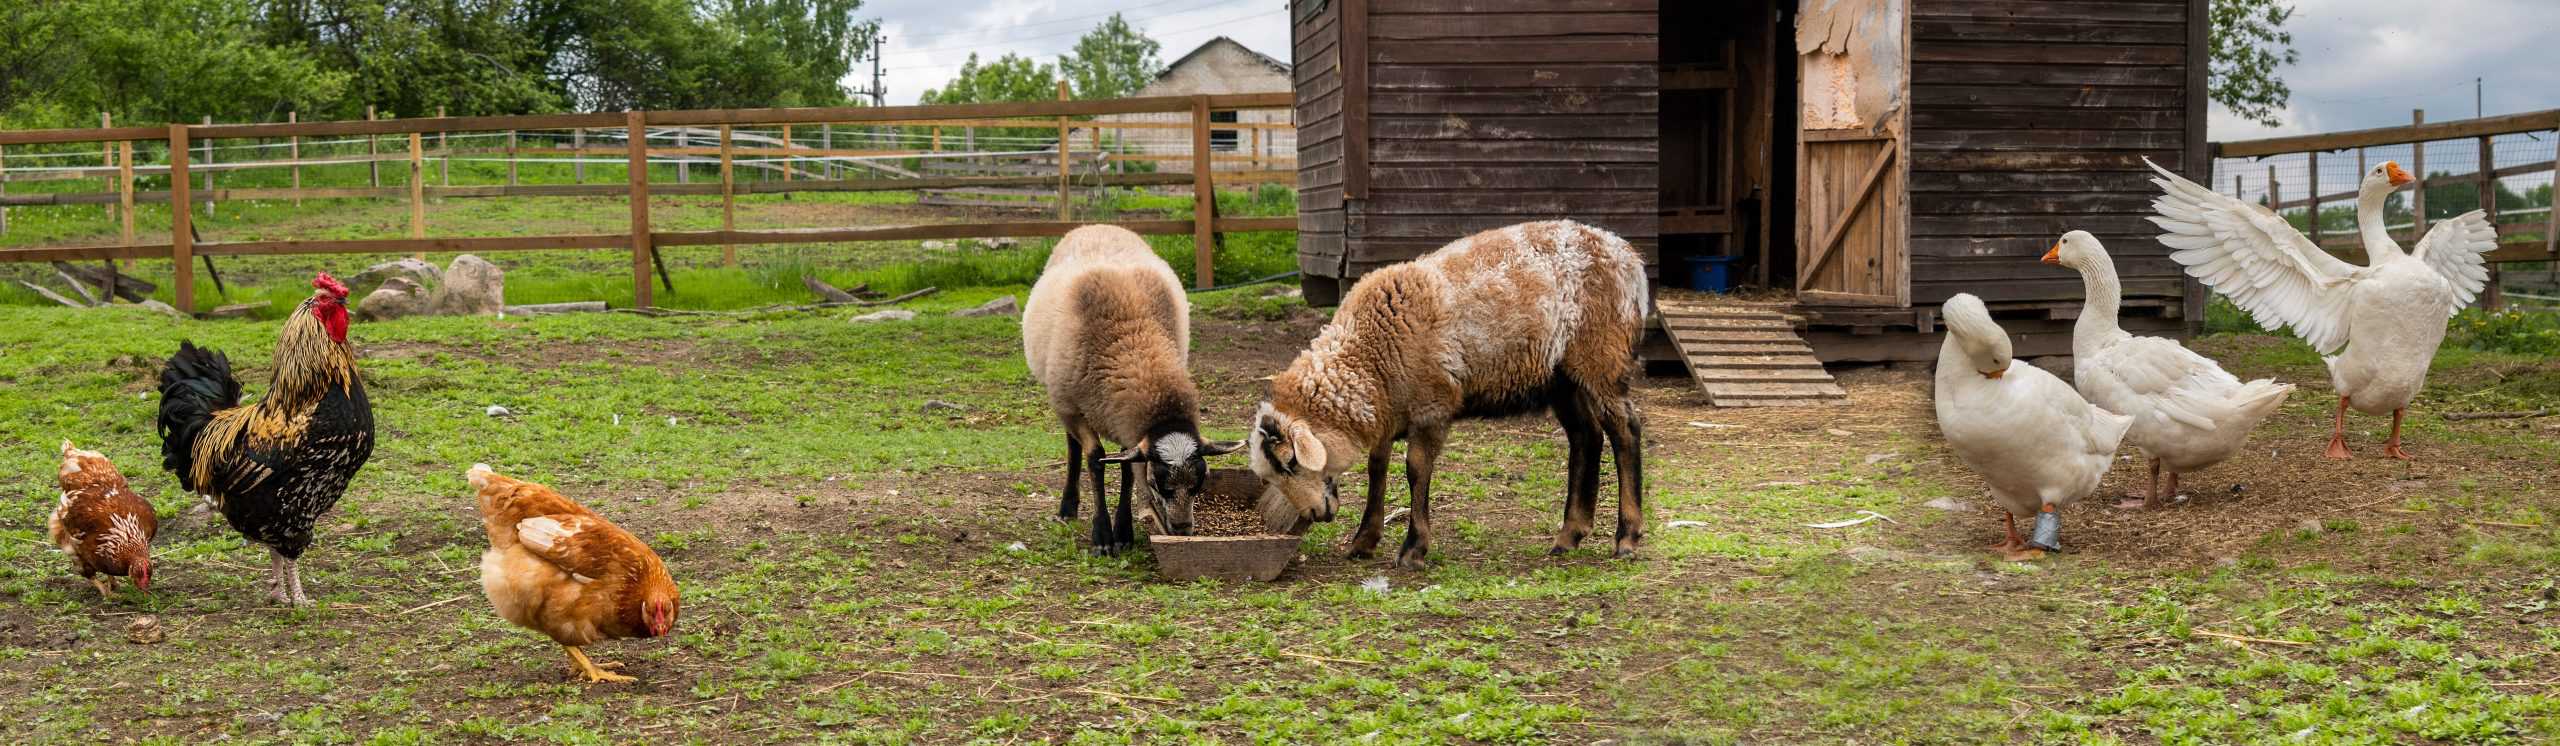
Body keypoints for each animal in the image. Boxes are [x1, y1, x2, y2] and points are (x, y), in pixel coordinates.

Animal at [1023, 225, 1243, 554]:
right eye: (1156, 484)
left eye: (1199, 484)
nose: (1182, 529)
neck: (1135, 345)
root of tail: (1095, 225)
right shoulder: (1075, 408)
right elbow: (1095, 460)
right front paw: (1102, 537)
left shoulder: (1126, 423)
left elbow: (1126, 467)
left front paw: (1124, 531)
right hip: (1064, 399)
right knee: (1072, 445)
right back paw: (1067, 506)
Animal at [1247, 219, 1650, 569]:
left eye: (1291, 462)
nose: (1313, 514)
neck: (1369, 356)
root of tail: (1629, 256)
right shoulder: (1388, 409)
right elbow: (1377, 468)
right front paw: (1364, 540)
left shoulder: (1432, 405)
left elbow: (1415, 469)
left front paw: (1413, 549)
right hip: (1561, 376)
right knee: (1586, 436)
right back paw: (1569, 536)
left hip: (1601, 355)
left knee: (1624, 431)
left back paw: (1627, 538)